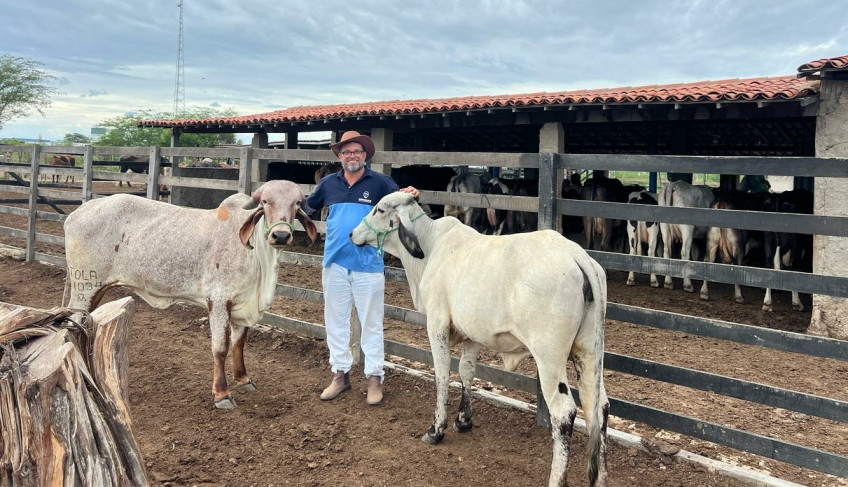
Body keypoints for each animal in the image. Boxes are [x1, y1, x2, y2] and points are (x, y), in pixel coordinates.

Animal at [64, 181, 320, 410]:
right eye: (266, 202)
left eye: (297, 203)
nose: (280, 235)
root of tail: (78, 212)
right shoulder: (218, 300)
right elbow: (220, 347)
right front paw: (222, 394)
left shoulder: (242, 303)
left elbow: (239, 343)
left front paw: (243, 379)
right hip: (86, 286)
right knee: (74, 325)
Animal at [350, 193, 608, 487]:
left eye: (379, 209)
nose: (352, 234)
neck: (431, 248)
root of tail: (577, 256)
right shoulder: (471, 333)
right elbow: (467, 372)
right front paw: (463, 420)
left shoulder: (437, 324)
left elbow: (442, 374)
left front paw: (436, 429)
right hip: (588, 351)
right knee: (599, 407)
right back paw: (600, 478)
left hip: (549, 357)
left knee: (564, 412)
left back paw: (556, 479)